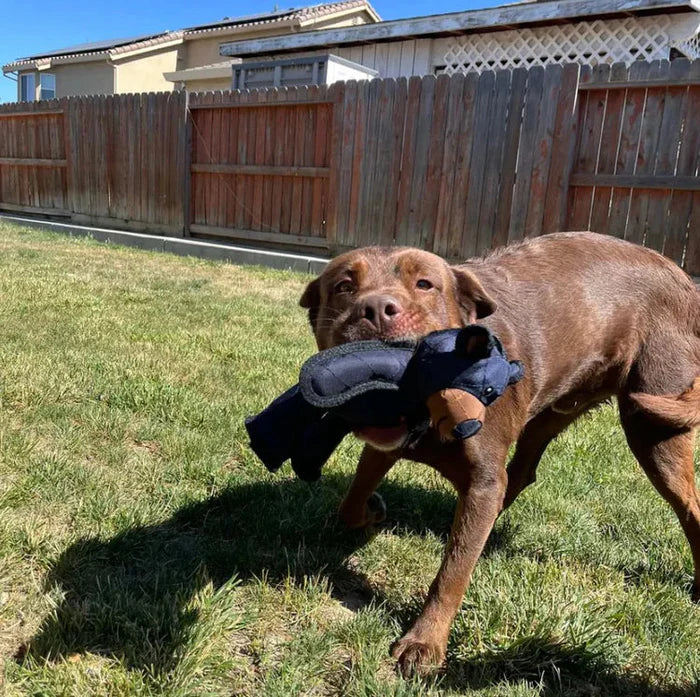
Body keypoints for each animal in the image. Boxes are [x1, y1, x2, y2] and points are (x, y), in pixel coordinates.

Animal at [296, 231, 700, 676]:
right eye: (344, 286)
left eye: (425, 284)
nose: (377, 309)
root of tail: (685, 281)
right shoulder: (386, 445)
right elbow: (352, 501)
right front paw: (372, 512)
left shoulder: (483, 477)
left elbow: (453, 572)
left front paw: (425, 641)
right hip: (552, 413)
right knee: (521, 473)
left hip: (654, 424)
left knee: (689, 508)